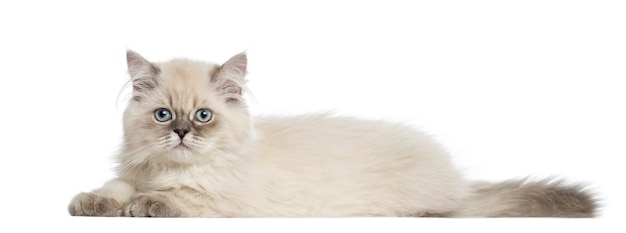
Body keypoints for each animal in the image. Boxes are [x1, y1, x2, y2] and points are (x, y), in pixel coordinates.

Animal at [67, 50, 596, 217]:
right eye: (162, 116)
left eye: (201, 116)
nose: (180, 133)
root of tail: (459, 181)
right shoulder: (135, 173)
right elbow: (114, 187)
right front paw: (91, 203)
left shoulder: (218, 200)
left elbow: (172, 198)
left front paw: (144, 207)